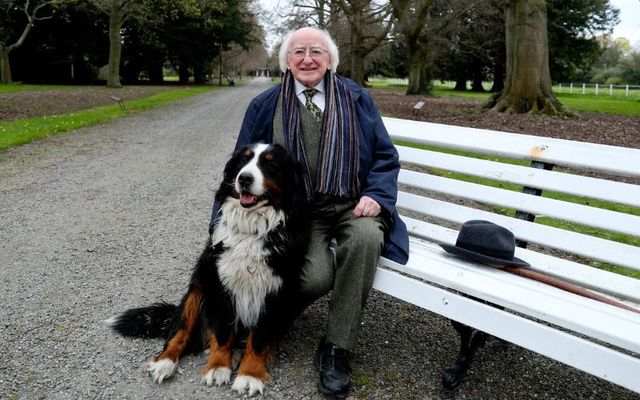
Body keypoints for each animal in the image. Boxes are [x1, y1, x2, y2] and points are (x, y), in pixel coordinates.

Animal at [107, 142, 310, 396]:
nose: (244, 178)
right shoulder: (219, 285)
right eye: (243, 161)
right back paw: (164, 362)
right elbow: (222, 333)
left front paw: (249, 375)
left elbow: (259, 338)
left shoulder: (275, 292)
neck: (251, 229)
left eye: (270, 164)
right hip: (196, 291)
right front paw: (218, 367)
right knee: (179, 333)